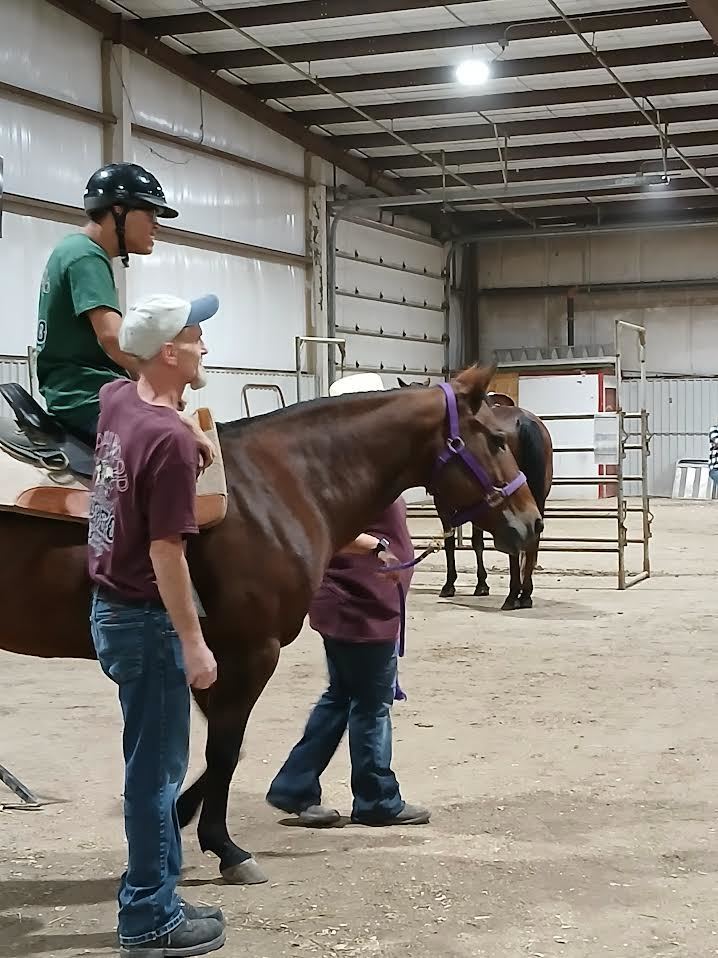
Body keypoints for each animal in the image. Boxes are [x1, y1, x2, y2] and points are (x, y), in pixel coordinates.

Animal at [398, 383, 553, 611]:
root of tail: (523, 420)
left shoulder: (445, 504)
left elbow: (451, 542)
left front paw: (449, 585)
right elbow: (477, 542)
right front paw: (481, 585)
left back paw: (512, 595)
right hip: (536, 498)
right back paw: (525, 594)